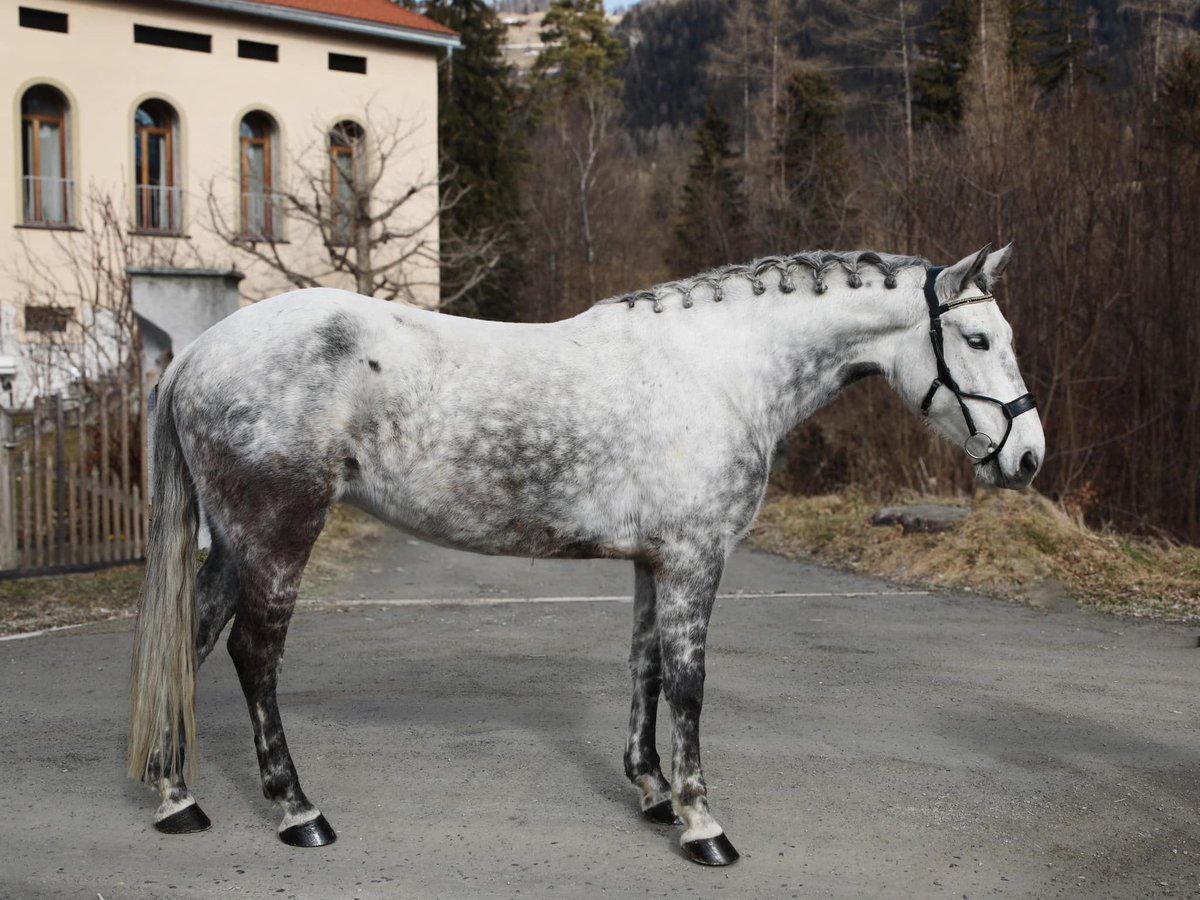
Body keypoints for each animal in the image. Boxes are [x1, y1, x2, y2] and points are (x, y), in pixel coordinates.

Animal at [124, 244, 1041, 868]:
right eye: (976, 338)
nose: (1028, 458)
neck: (721, 368)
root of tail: (195, 355)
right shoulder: (694, 558)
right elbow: (690, 685)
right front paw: (702, 824)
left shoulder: (651, 562)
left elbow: (644, 668)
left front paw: (652, 793)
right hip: (276, 536)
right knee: (253, 655)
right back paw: (297, 811)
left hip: (233, 544)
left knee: (190, 641)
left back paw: (177, 798)